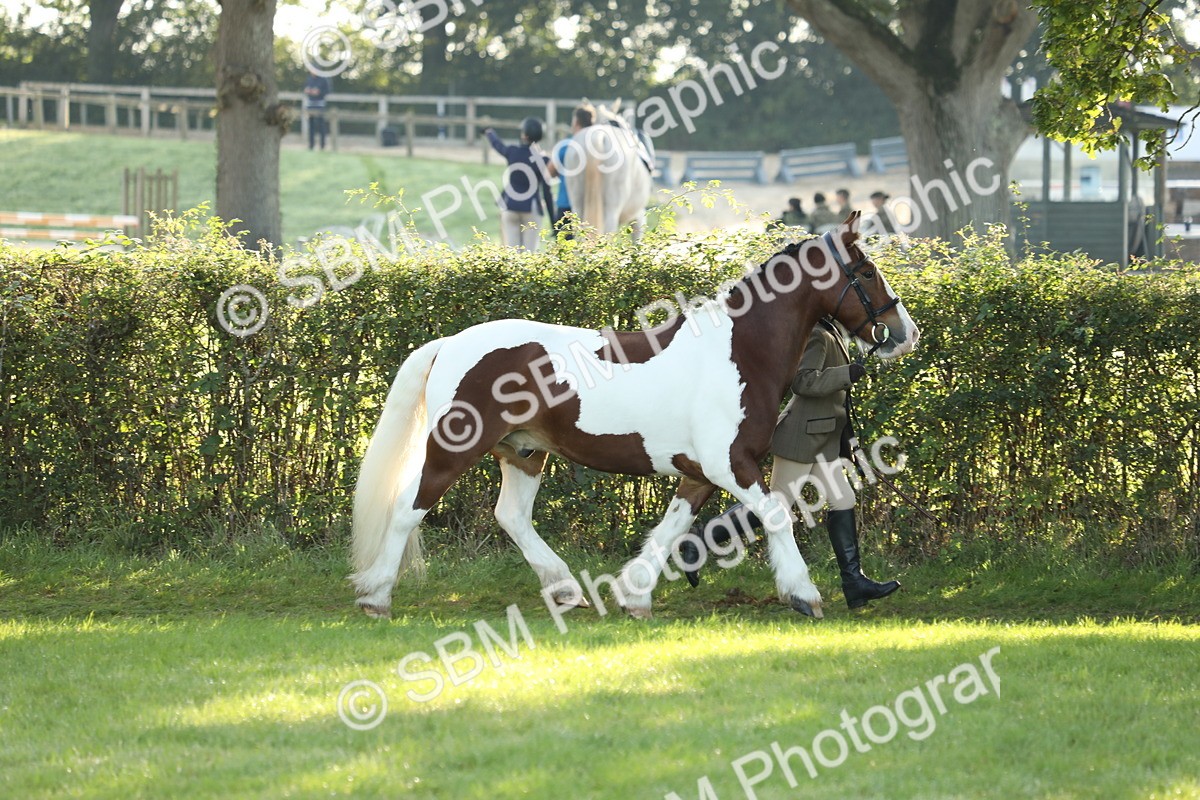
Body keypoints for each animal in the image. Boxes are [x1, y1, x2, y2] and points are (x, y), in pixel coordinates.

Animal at [351, 212, 919, 620]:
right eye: (867, 271)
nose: (904, 332)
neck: (739, 353)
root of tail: (450, 343)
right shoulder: (731, 465)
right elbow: (776, 513)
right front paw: (804, 594)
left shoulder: (700, 474)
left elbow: (671, 528)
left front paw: (635, 597)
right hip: (453, 449)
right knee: (409, 508)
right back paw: (376, 596)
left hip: (524, 451)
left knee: (511, 516)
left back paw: (565, 589)